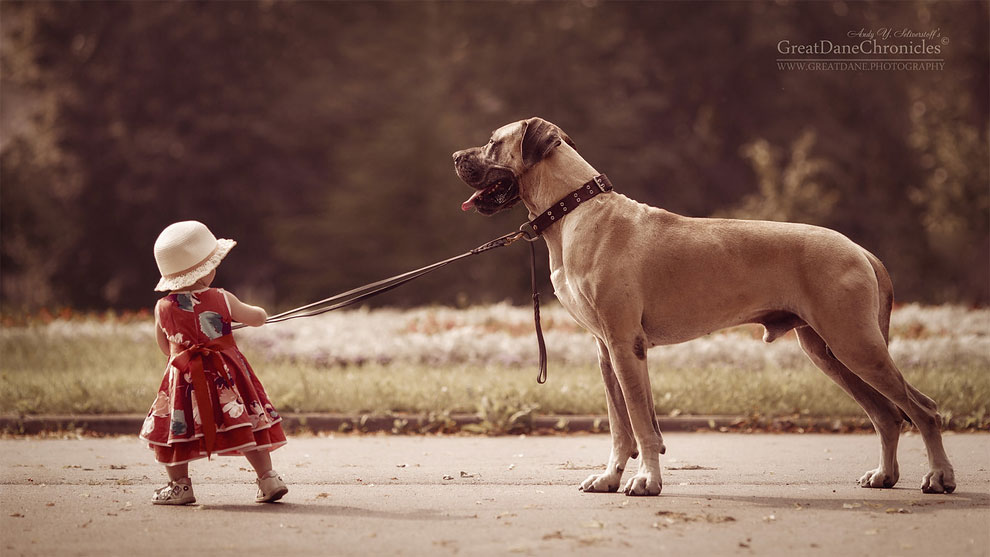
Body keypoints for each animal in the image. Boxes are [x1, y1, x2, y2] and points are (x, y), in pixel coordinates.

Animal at [454, 116, 956, 496]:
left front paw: (646, 481)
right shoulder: (605, 349)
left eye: (493, 143)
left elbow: (641, 423)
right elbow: (620, 425)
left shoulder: (625, 344)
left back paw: (938, 476)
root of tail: (860, 250)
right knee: (887, 415)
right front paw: (610, 477)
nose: (456, 157)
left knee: (923, 409)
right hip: (828, 350)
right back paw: (885, 475)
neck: (573, 210)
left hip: (854, 343)